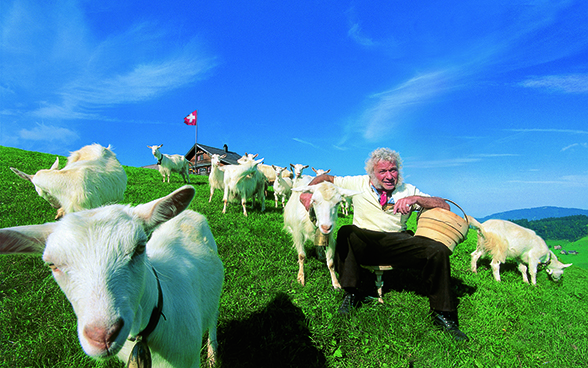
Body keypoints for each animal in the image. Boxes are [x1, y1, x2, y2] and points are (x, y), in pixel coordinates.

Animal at [0, 187, 224, 368]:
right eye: (52, 265)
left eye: (139, 248)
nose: (102, 337)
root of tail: (189, 213)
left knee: (213, 317)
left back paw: (213, 355)